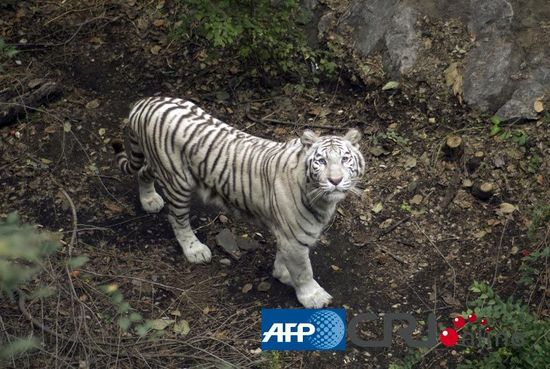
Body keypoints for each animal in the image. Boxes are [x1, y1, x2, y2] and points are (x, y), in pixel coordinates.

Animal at [112, 95, 366, 308]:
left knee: (143, 172)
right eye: (321, 161)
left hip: (158, 166)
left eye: (345, 159)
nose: (335, 180)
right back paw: (195, 250)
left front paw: (282, 273)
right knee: (177, 218)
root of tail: (144, 103)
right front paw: (313, 297)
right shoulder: (296, 237)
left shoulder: (287, 233)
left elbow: (284, 258)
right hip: (176, 179)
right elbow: (304, 270)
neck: (320, 197)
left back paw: (149, 200)